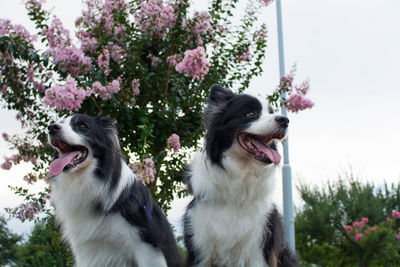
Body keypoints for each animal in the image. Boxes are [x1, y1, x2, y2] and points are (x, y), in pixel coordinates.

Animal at [184, 86, 296, 267]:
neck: (241, 174)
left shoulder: (259, 248)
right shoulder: (200, 247)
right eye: (250, 114)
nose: (285, 120)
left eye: (271, 112)